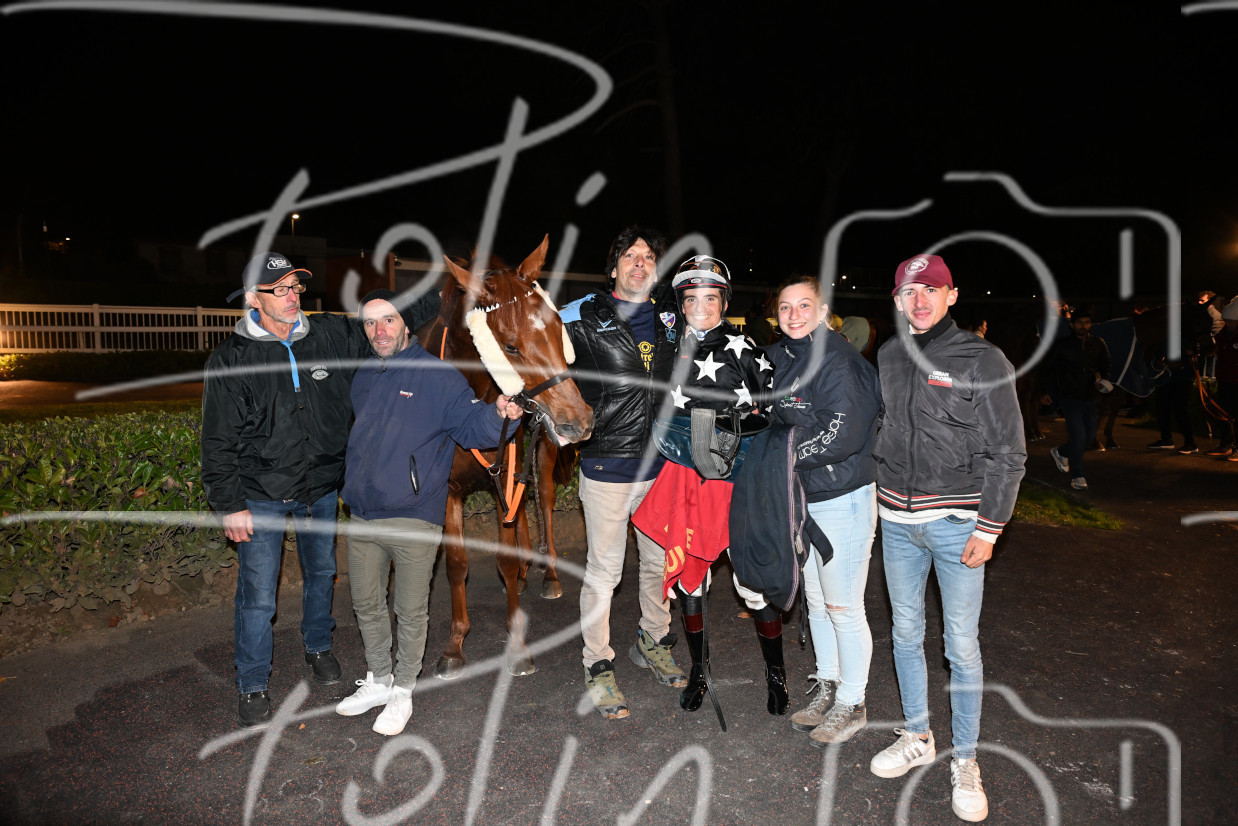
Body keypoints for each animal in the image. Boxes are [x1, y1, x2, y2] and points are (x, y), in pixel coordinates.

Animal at [416, 236, 593, 678]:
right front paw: (455, 644)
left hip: (543, 448)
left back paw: (547, 573)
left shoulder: (508, 470)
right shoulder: (450, 487)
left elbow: (506, 560)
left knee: (542, 498)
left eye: (557, 328)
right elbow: (457, 563)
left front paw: (517, 646)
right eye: (510, 346)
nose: (580, 420)